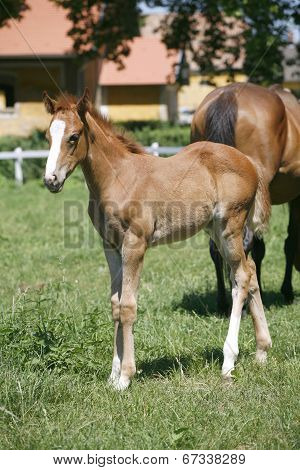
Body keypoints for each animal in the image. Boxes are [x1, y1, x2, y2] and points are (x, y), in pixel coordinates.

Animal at [42, 88, 272, 390]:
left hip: (230, 226)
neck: (118, 177)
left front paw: (125, 377)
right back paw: (262, 351)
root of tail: (251, 163)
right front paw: (112, 375)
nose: (51, 180)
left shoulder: (135, 244)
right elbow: (115, 305)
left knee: (242, 277)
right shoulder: (111, 246)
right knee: (250, 271)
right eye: (48, 136)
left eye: (73, 136)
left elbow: (128, 306)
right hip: (215, 230)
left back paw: (228, 361)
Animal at [191, 83, 300, 312]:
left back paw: (223, 302)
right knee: (244, 245)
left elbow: (260, 248)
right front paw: (286, 291)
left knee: (216, 247)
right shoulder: (297, 197)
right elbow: (290, 241)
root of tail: (229, 95)